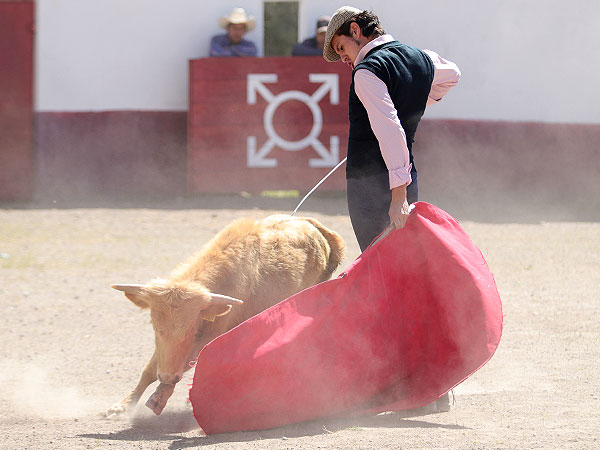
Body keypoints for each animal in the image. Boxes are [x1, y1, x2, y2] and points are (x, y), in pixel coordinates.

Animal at [105, 216, 344, 416]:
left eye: (191, 329)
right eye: (155, 327)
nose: (167, 376)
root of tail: (312, 224)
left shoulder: (211, 333)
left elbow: (188, 360)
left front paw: (160, 396)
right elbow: (149, 369)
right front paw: (122, 406)